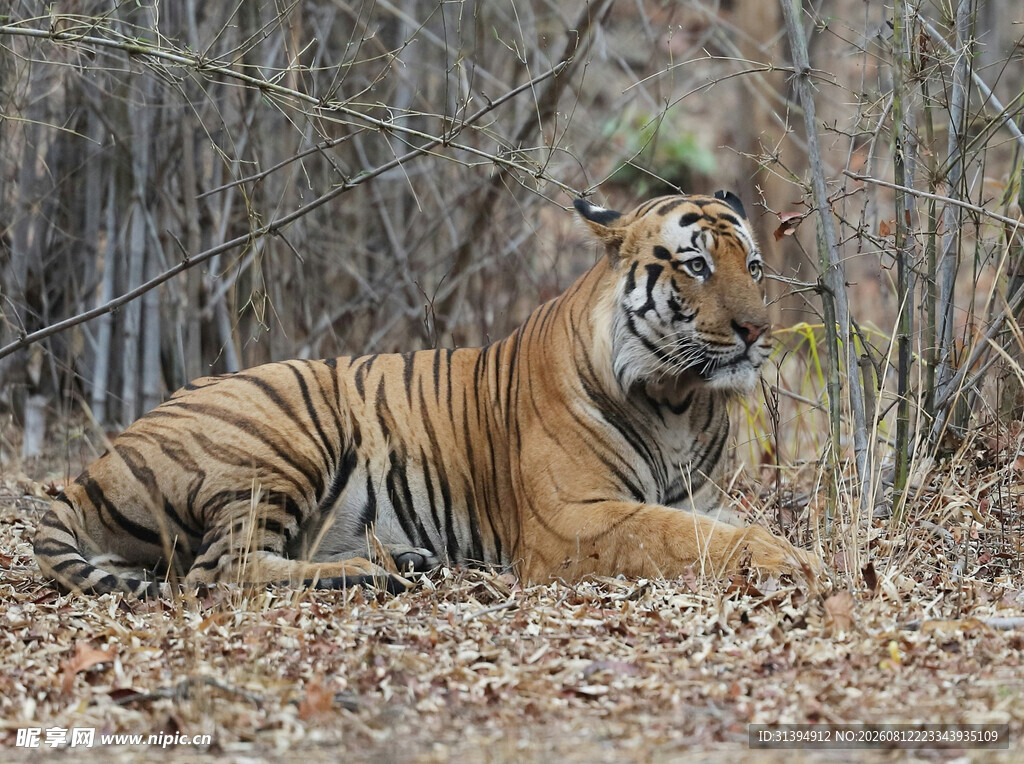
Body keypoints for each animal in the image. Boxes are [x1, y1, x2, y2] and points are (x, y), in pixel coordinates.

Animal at [33, 191, 822, 598]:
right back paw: (366, 573)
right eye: (695, 265)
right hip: (288, 425)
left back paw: (400, 561)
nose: (758, 330)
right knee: (218, 573)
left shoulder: (699, 497)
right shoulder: (575, 518)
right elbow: (680, 537)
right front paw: (794, 563)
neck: (679, 400)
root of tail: (87, 473)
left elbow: (715, 525)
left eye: (753, 266)